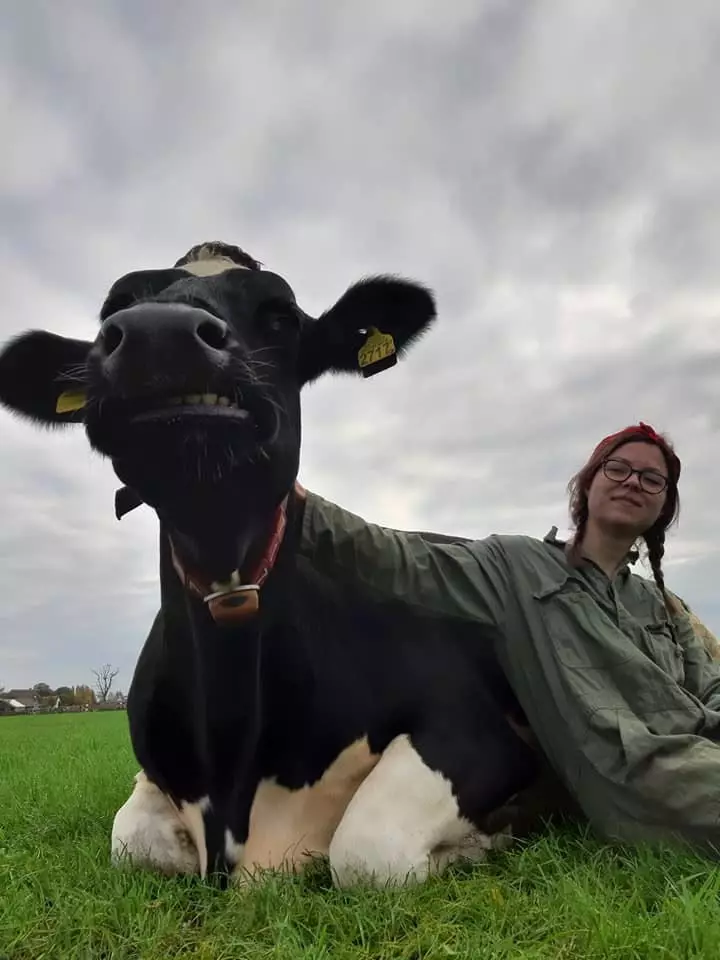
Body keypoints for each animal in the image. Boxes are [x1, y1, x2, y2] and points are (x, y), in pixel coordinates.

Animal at [0, 244, 540, 888]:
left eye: (281, 316)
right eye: (116, 308)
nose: (159, 334)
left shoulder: (476, 731)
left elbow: (366, 850)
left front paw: (486, 839)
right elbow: (131, 840)